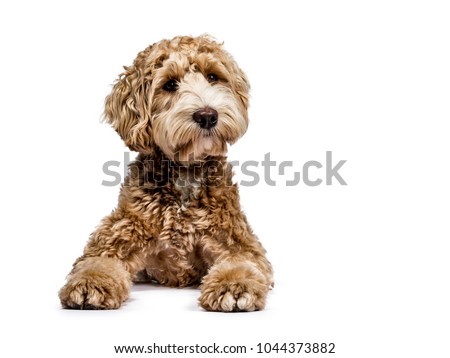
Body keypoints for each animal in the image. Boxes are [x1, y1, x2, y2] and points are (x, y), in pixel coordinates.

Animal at [58, 35, 272, 312]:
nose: (207, 116)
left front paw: (234, 286)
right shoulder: (118, 234)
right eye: (170, 84)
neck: (185, 173)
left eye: (213, 77)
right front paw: (89, 282)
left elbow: (242, 262)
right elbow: (95, 261)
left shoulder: (237, 240)